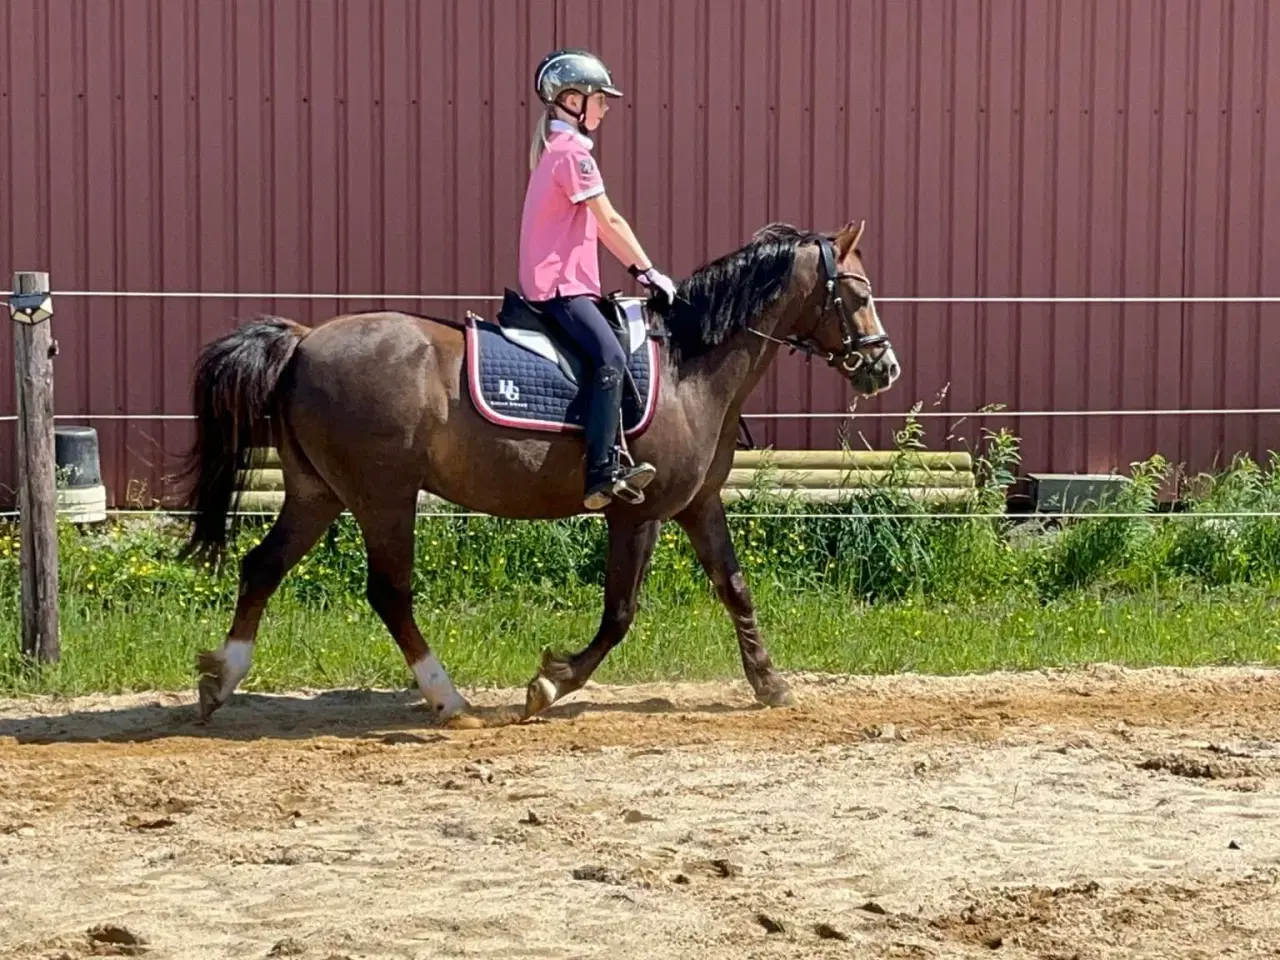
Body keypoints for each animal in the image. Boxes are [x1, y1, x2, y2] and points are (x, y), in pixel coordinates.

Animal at [177, 217, 901, 727]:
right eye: (859, 292)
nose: (884, 366)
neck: (692, 364)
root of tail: (303, 341)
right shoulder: (637, 512)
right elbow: (620, 612)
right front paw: (550, 684)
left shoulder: (699, 505)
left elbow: (735, 587)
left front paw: (769, 681)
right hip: (383, 495)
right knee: (388, 593)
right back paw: (448, 700)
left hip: (318, 492)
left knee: (262, 567)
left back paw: (220, 680)